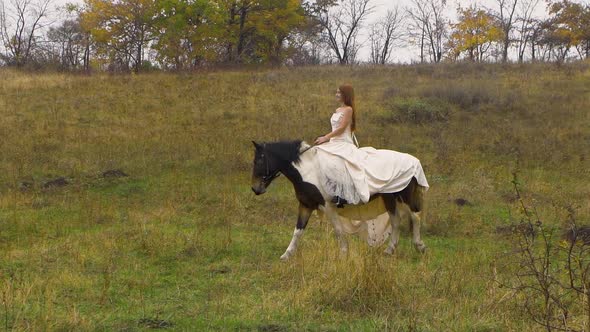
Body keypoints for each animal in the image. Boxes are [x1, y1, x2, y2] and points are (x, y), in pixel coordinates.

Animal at [251, 139, 430, 260]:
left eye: (259, 160)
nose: (255, 189)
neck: (308, 170)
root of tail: (414, 161)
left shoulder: (327, 205)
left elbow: (338, 230)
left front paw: (343, 254)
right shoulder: (306, 205)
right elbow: (298, 231)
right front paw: (286, 255)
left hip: (404, 195)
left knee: (415, 216)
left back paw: (420, 246)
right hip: (389, 197)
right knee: (395, 220)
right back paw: (389, 250)